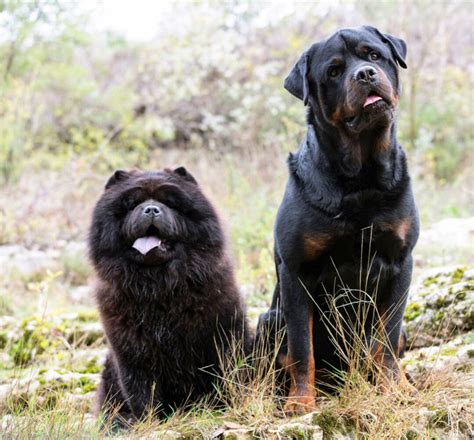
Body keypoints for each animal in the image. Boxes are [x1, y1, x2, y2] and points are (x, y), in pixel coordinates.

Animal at [90, 168, 252, 426]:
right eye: (132, 204)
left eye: (170, 203)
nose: (151, 209)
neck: (159, 290)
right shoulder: (131, 354)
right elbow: (142, 393)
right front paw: (149, 423)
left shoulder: (223, 336)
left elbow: (230, 376)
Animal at [260, 26, 418, 416]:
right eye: (333, 71)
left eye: (374, 55)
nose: (365, 74)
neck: (360, 178)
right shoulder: (296, 273)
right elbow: (302, 347)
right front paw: (300, 401)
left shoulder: (401, 262)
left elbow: (386, 338)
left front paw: (394, 390)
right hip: (269, 320)